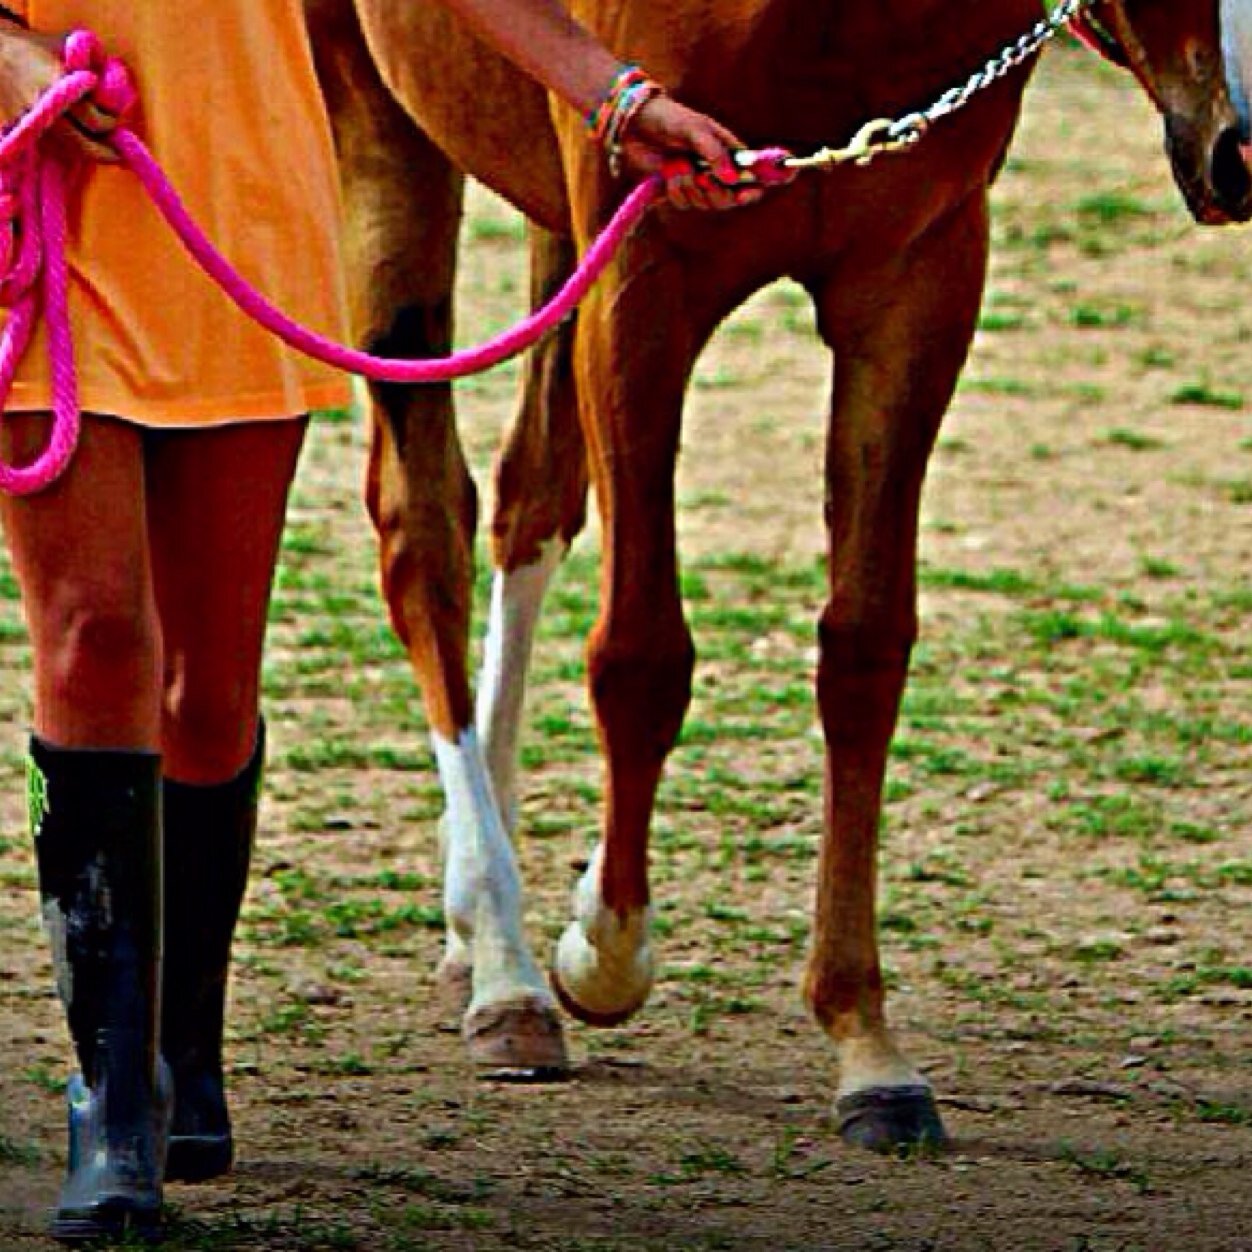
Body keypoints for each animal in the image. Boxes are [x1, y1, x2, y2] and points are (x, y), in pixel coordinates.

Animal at [302, 0, 1251, 1151]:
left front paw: (867, 1047)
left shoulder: (917, 276)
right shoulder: (643, 280)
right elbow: (640, 658)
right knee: (425, 528)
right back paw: (504, 966)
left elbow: (863, 652)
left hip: (546, 215)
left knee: (532, 500)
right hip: (376, 126)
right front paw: (601, 951)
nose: (1240, 147)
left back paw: (471, 911)